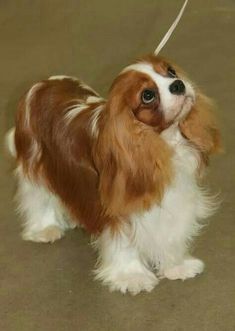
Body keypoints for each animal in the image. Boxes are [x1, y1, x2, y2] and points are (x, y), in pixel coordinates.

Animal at [5, 1, 222, 296]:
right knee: (38, 197)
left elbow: (169, 231)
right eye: (147, 95)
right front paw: (132, 276)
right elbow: (124, 241)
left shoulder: (173, 195)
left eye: (171, 72)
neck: (162, 142)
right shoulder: (117, 200)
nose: (178, 84)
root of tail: (43, 83)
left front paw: (176, 265)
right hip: (35, 162)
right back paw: (45, 228)